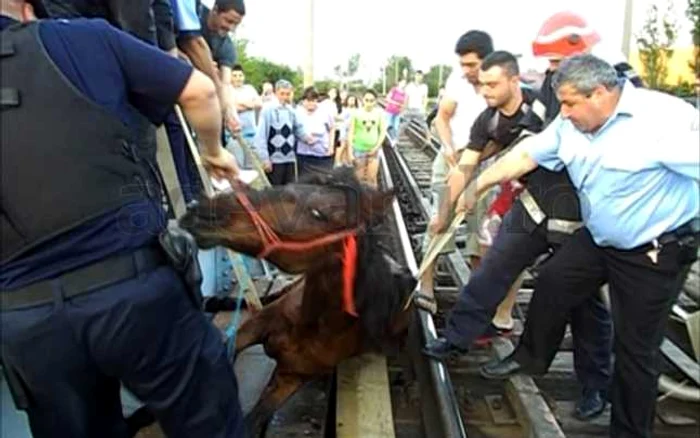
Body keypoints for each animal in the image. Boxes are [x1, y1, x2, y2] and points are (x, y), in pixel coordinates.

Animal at [179, 167, 416, 434]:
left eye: (319, 213)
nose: (201, 209)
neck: (311, 324)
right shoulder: (255, 326)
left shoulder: (292, 377)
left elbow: (254, 420)